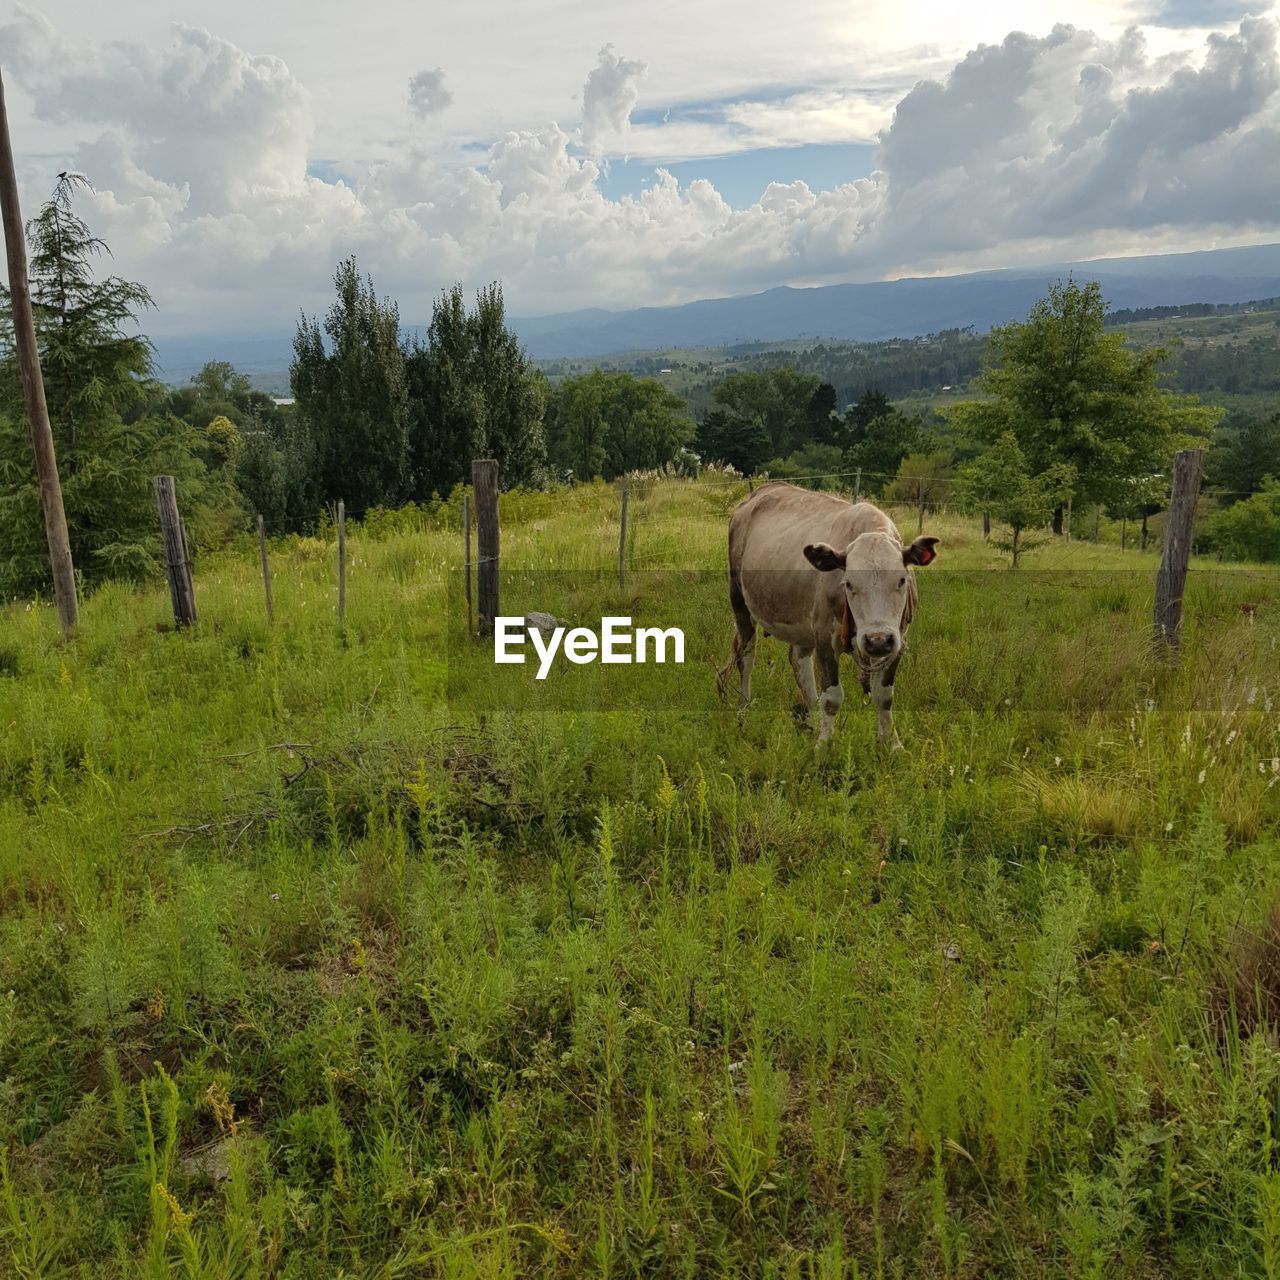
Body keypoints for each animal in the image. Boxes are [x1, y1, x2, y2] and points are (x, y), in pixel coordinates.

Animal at [721, 486, 942, 747]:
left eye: (901, 579)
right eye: (848, 583)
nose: (877, 640)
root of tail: (756, 495)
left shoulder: (897, 639)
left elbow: (884, 696)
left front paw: (891, 744)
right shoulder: (826, 638)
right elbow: (832, 697)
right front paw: (824, 746)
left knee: (799, 661)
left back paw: (813, 722)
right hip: (739, 601)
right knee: (746, 657)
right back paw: (743, 712)